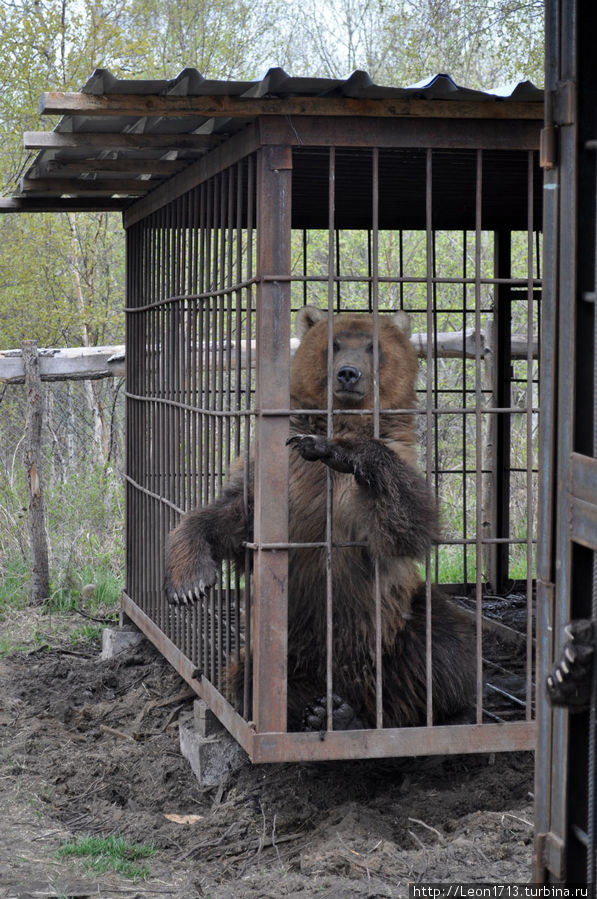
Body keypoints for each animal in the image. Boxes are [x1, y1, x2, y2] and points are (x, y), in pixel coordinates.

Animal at [165, 308, 472, 732]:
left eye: (373, 346)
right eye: (334, 344)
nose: (348, 374)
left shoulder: (372, 492)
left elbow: (408, 523)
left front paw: (337, 449)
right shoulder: (277, 477)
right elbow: (229, 515)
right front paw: (189, 583)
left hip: (396, 628)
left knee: (444, 646)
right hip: (286, 652)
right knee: (253, 680)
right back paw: (321, 712)